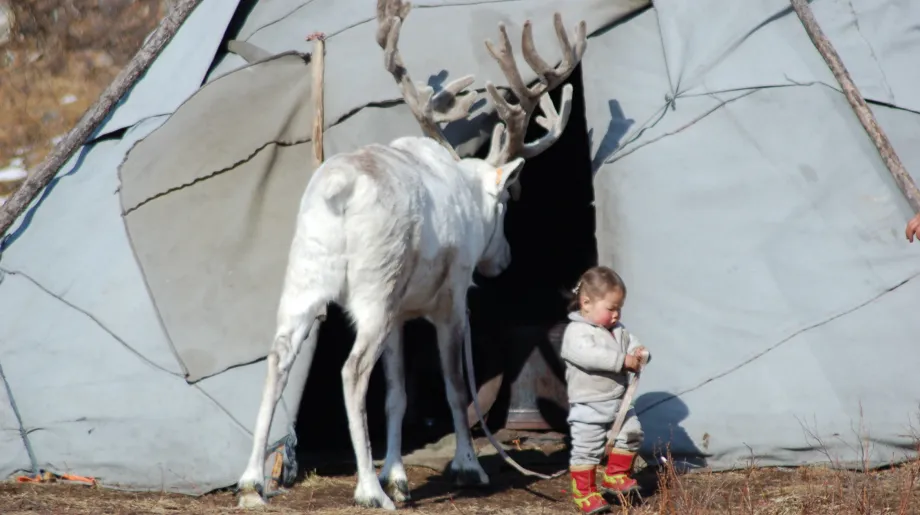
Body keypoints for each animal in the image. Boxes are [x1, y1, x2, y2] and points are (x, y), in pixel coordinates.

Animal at [236, 0, 586, 509]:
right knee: (352, 371)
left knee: (279, 356)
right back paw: (366, 491)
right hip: (374, 290)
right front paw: (467, 468)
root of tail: (338, 191)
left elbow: (398, 394)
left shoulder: (401, 314)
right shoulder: (451, 299)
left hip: (305, 278)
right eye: (507, 200)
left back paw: (251, 483)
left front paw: (398, 477)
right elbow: (456, 387)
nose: (502, 259)